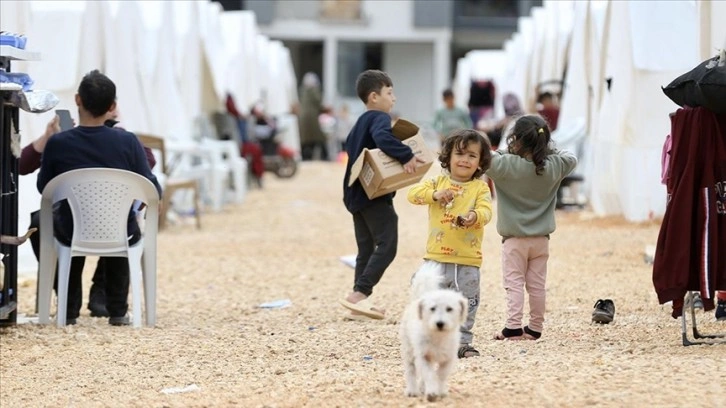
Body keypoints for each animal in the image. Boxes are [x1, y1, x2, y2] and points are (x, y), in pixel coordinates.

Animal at [400, 262, 470, 400]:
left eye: (449, 309)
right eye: (432, 308)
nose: (440, 323)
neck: (438, 336)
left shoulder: (448, 358)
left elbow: (441, 375)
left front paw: (440, 390)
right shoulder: (423, 356)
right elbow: (429, 375)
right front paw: (432, 392)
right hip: (409, 350)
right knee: (411, 371)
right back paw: (412, 390)